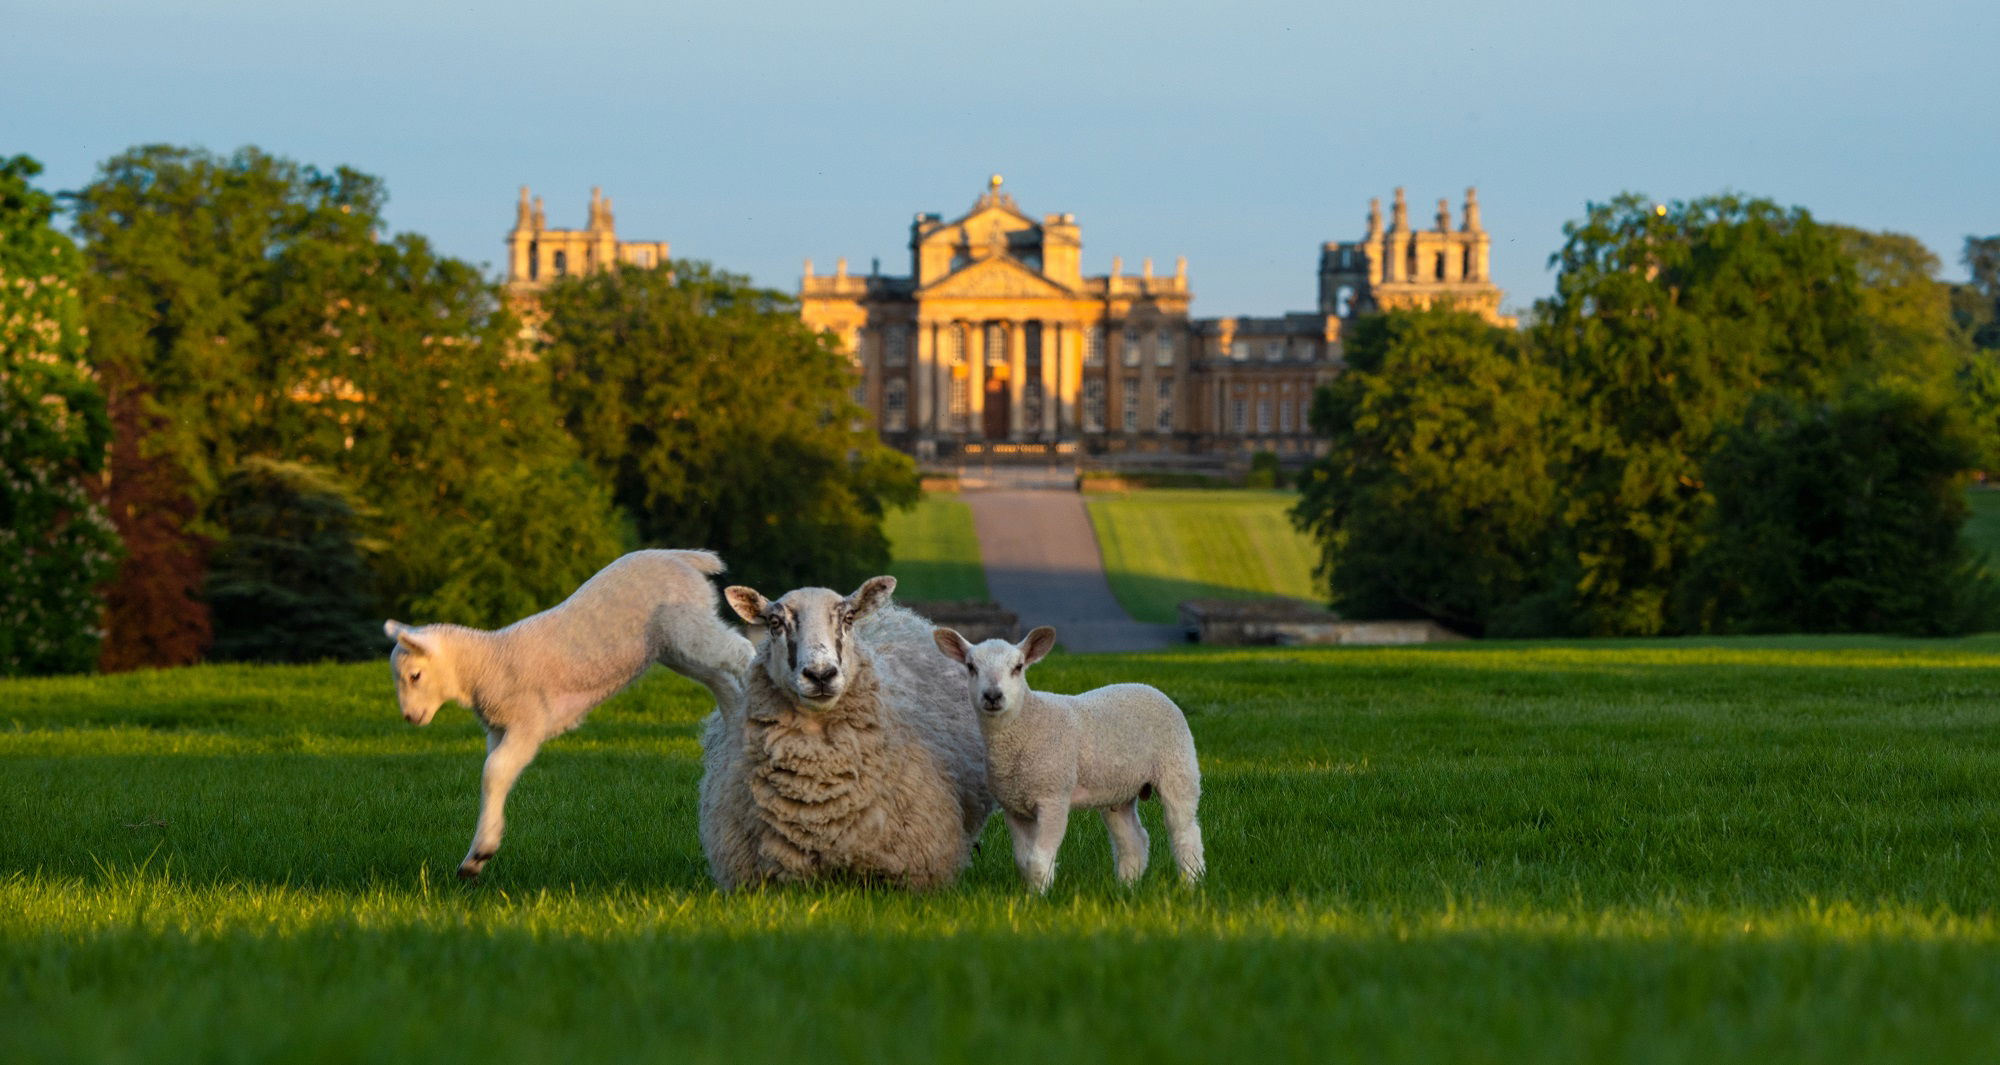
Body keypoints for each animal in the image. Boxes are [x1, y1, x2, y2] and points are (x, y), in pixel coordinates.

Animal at [383, 548, 754, 879]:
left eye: (415, 676)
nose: (410, 717)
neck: (487, 663)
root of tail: (681, 555)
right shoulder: (498, 729)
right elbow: (496, 775)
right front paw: (478, 855)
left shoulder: (528, 721)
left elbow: (493, 772)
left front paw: (480, 852)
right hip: (672, 645)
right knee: (721, 681)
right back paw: (735, 725)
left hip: (684, 624)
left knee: (739, 651)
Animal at [932, 625, 1205, 893]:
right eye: (971, 667)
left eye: (1018, 667)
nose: (992, 696)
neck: (1027, 724)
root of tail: (1148, 687)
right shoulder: (1014, 806)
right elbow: (1023, 859)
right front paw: (1030, 895)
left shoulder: (1053, 797)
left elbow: (1038, 858)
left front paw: (1041, 896)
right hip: (1118, 789)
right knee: (1133, 839)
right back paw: (1126, 888)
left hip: (1178, 766)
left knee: (1185, 831)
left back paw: (1191, 883)